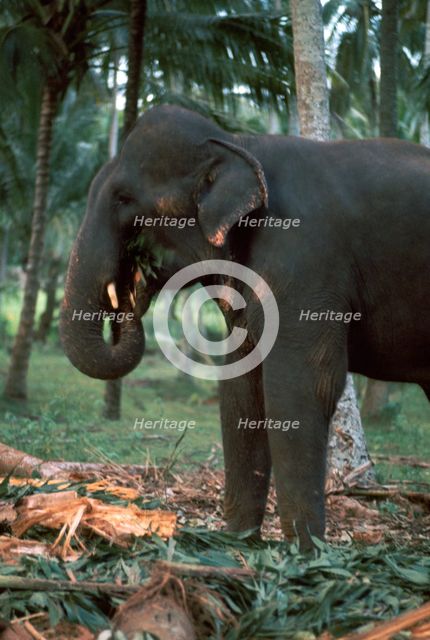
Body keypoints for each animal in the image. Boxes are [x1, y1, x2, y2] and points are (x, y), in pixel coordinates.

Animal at [60, 105, 430, 546]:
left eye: (124, 197)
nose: (136, 279)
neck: (237, 142)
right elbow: (240, 385)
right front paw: (236, 542)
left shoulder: (304, 257)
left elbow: (302, 386)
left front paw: (305, 553)